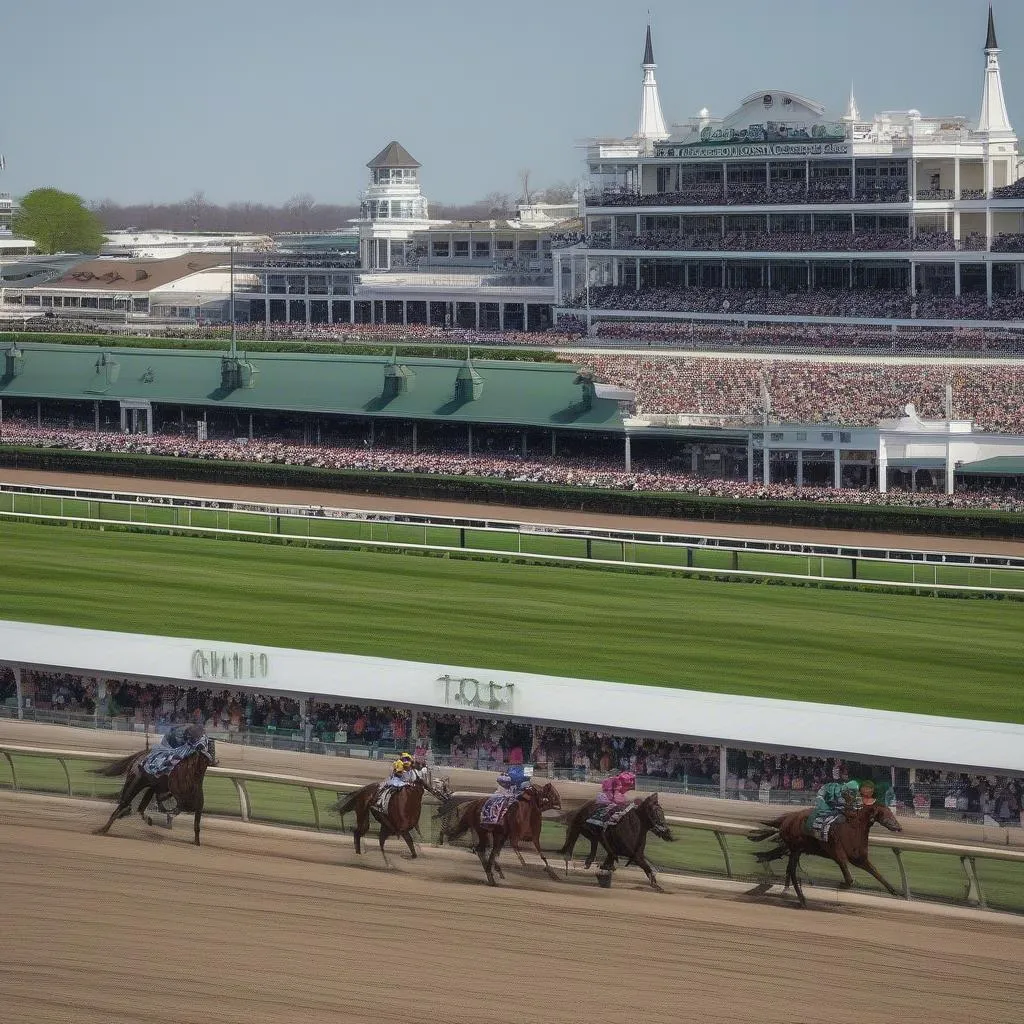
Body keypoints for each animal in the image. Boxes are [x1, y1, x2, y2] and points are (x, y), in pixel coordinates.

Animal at [92, 737, 220, 847]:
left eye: (212, 749)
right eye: (207, 748)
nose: (215, 761)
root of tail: (141, 755)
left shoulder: (197, 807)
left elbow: (196, 826)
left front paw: (197, 843)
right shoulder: (177, 798)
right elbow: (169, 806)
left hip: (149, 787)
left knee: (140, 808)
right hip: (135, 783)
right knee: (124, 804)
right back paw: (103, 828)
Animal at [745, 802, 905, 909]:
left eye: (891, 812)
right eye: (886, 813)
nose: (899, 827)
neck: (853, 828)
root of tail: (785, 819)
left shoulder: (859, 858)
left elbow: (876, 873)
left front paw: (895, 891)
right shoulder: (838, 854)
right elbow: (849, 879)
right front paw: (839, 884)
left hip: (797, 849)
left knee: (789, 868)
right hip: (795, 849)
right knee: (792, 870)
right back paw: (802, 899)